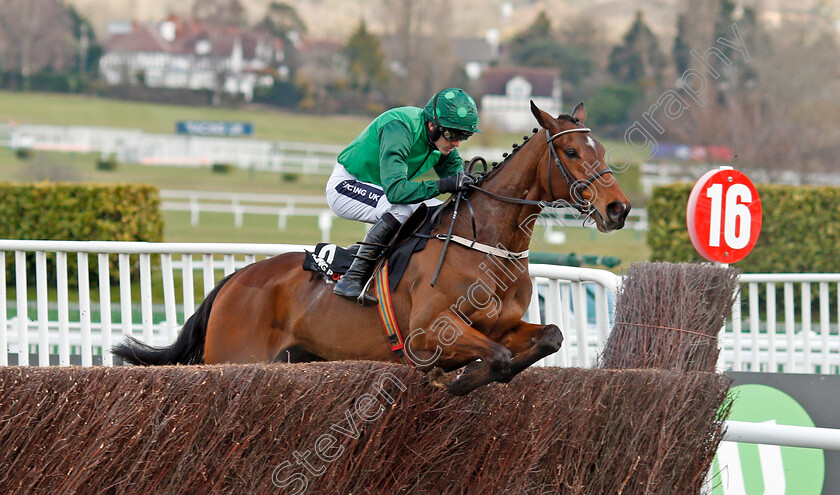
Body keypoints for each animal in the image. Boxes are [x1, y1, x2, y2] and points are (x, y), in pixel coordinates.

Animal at [116, 101, 632, 396]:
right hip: (235, 358)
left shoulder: (503, 327)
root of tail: (237, 279)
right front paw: (454, 380)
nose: (618, 209)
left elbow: (549, 338)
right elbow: (498, 359)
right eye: (570, 153)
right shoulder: (428, 333)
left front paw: (462, 377)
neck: (485, 243)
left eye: (603, 150)